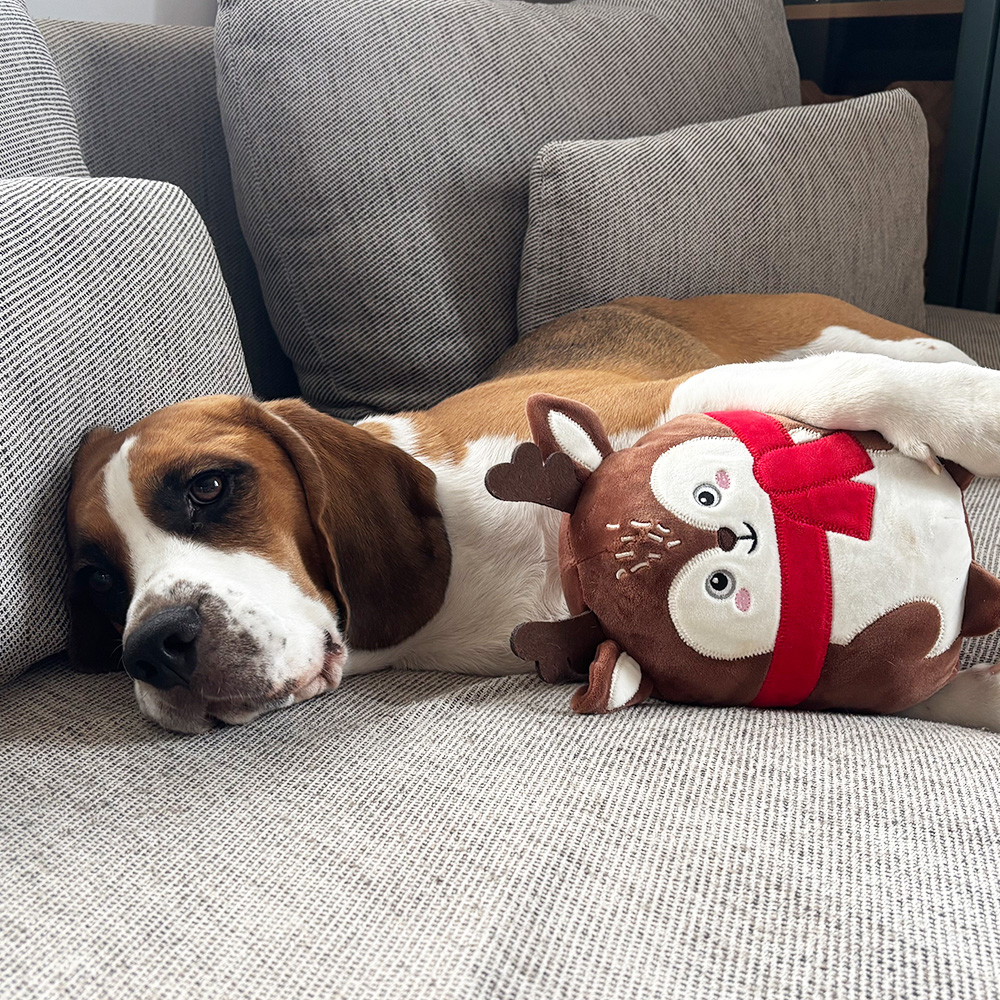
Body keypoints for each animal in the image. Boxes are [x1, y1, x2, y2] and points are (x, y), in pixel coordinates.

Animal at [65, 293, 1000, 733]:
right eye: (99, 581)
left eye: (210, 487)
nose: (153, 647)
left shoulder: (672, 396)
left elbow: (848, 385)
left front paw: (973, 416)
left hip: (855, 331)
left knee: (886, 354)